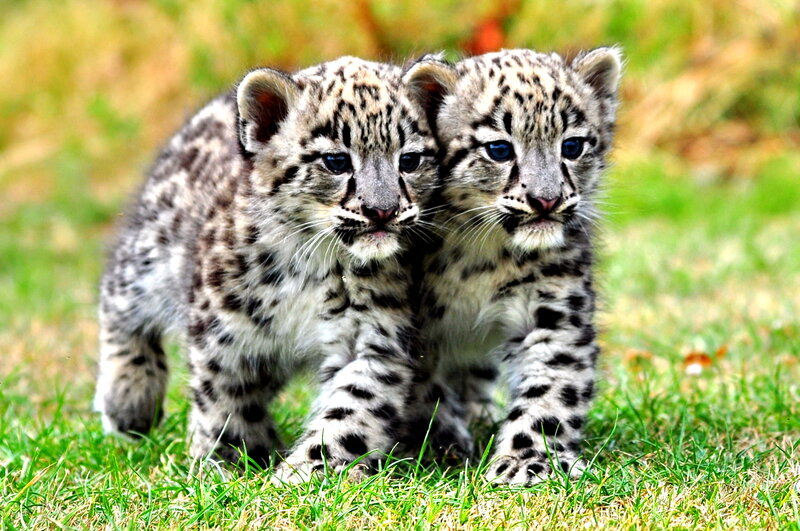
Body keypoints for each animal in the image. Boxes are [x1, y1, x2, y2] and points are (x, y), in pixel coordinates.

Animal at [93, 56, 442, 482]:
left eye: (409, 160)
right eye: (336, 161)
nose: (383, 210)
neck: (318, 264)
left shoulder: (377, 340)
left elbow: (350, 414)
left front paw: (303, 473)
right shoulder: (224, 329)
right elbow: (222, 398)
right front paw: (227, 461)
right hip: (149, 249)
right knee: (118, 301)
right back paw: (128, 402)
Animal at [401, 47, 622, 484]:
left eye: (572, 145)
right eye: (499, 150)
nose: (546, 199)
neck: (485, 255)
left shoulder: (557, 312)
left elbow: (551, 390)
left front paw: (527, 461)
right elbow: (424, 388)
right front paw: (443, 442)